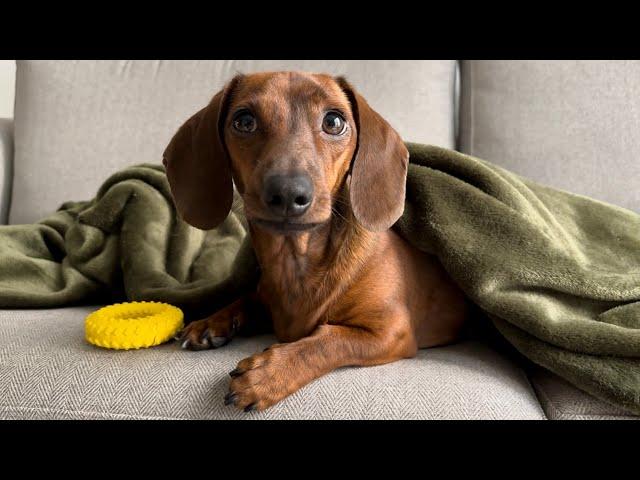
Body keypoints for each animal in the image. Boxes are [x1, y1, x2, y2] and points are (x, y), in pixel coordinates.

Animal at [162, 72, 468, 412]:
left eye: (334, 121)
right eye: (244, 121)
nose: (287, 193)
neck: (296, 261)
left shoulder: (391, 331)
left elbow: (328, 341)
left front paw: (268, 375)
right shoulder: (265, 295)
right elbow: (246, 298)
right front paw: (211, 322)